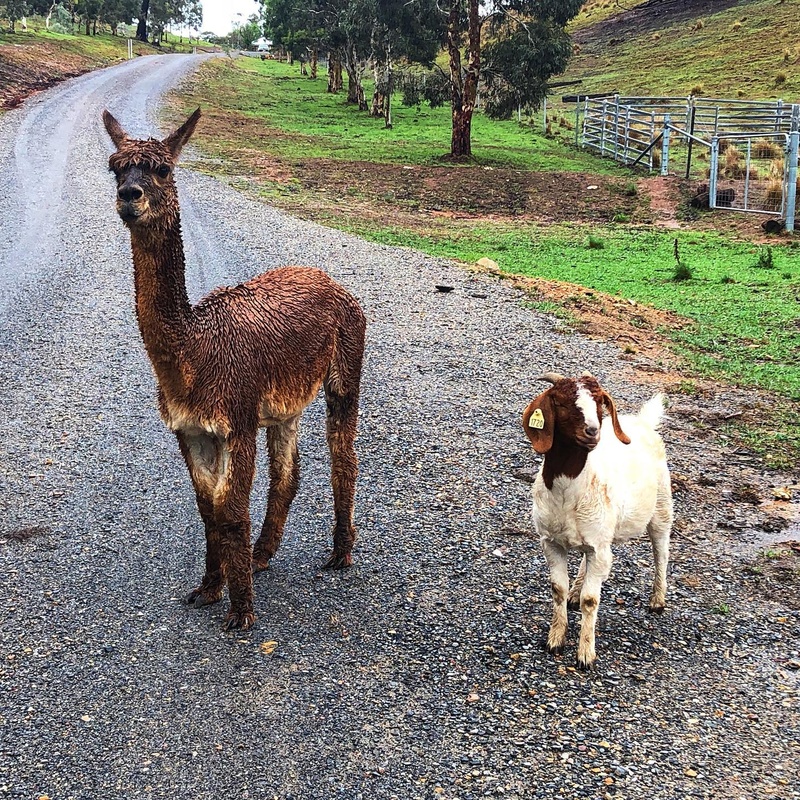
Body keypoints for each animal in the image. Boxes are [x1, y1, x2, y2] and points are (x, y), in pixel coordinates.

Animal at [103, 108, 366, 632]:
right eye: (114, 168)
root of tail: (327, 279)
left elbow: (231, 509)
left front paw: (241, 610)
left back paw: (339, 553)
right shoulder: (190, 430)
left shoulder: (236, 420)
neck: (193, 355)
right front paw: (210, 587)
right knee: (289, 473)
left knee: (342, 458)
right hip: (285, 404)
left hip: (345, 368)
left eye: (162, 169)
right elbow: (208, 510)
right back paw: (262, 553)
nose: (130, 197)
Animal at [520, 374, 672, 668]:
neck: (568, 494)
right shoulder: (551, 542)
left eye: (600, 404)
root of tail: (642, 421)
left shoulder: (600, 548)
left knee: (661, 551)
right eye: (561, 402)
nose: (592, 431)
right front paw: (555, 639)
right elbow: (557, 589)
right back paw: (575, 592)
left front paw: (585, 655)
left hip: (661, 507)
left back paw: (658, 600)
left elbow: (591, 600)